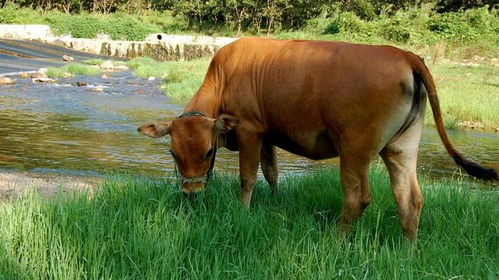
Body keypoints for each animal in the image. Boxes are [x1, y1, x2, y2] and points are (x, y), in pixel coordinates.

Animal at [139, 37, 498, 238]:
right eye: (173, 154)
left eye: (208, 151)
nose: (191, 193)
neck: (224, 77)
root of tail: (404, 55)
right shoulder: (269, 134)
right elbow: (272, 173)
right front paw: (275, 201)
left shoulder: (250, 130)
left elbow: (248, 177)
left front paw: (243, 211)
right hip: (401, 147)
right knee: (410, 199)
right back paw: (407, 249)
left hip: (354, 149)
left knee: (358, 198)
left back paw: (336, 241)